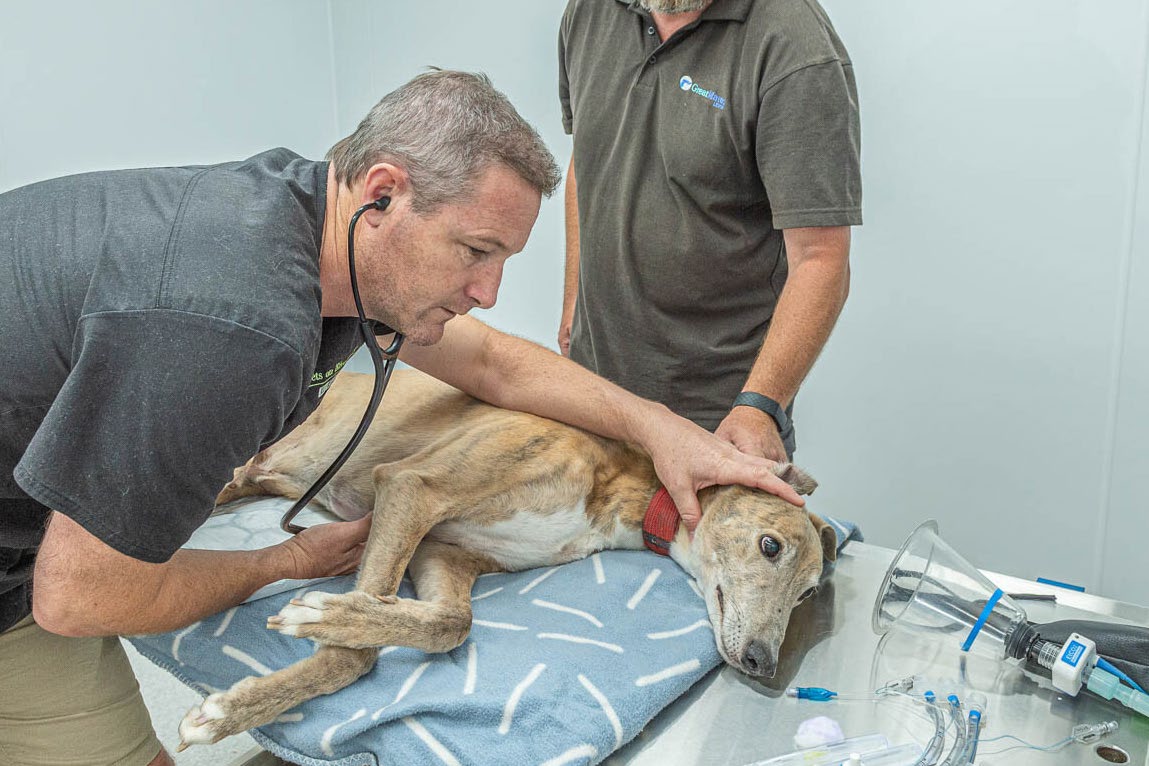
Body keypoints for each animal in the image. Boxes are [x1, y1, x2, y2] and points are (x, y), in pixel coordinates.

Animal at [176, 372, 836, 748]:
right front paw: (240, 703)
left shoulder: (445, 550)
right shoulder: (412, 486)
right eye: (770, 546)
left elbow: (450, 623)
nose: (763, 663)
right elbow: (357, 656)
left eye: (808, 593)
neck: (617, 487)